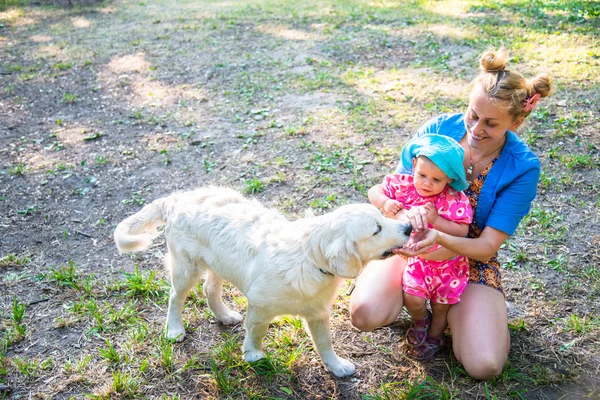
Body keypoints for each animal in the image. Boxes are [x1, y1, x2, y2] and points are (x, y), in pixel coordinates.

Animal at [114, 188, 410, 378]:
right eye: (376, 229)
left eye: (382, 218)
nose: (408, 227)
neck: (308, 258)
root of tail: (177, 198)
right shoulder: (260, 306)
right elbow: (257, 331)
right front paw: (253, 355)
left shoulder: (317, 313)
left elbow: (325, 343)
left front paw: (336, 367)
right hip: (187, 267)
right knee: (176, 297)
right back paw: (174, 328)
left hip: (220, 262)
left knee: (210, 289)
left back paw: (224, 316)